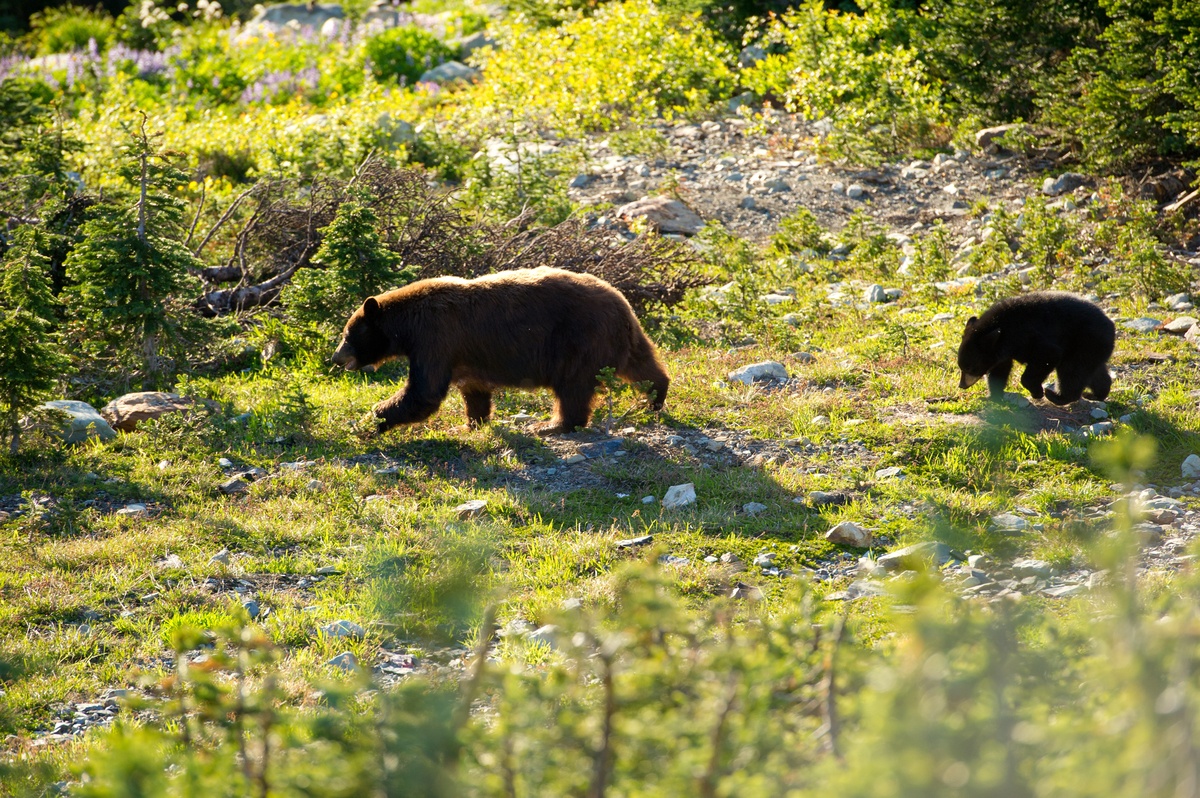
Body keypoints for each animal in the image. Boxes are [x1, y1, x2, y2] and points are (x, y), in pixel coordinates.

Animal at [333, 264, 672, 432]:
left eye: (348, 334)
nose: (336, 358)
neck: (406, 325)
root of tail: (622, 303)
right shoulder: (462, 354)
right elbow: (474, 390)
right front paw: (471, 423)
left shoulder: (435, 338)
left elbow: (423, 392)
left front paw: (367, 422)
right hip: (623, 338)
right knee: (643, 366)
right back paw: (654, 397)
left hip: (578, 340)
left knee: (572, 387)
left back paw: (552, 425)